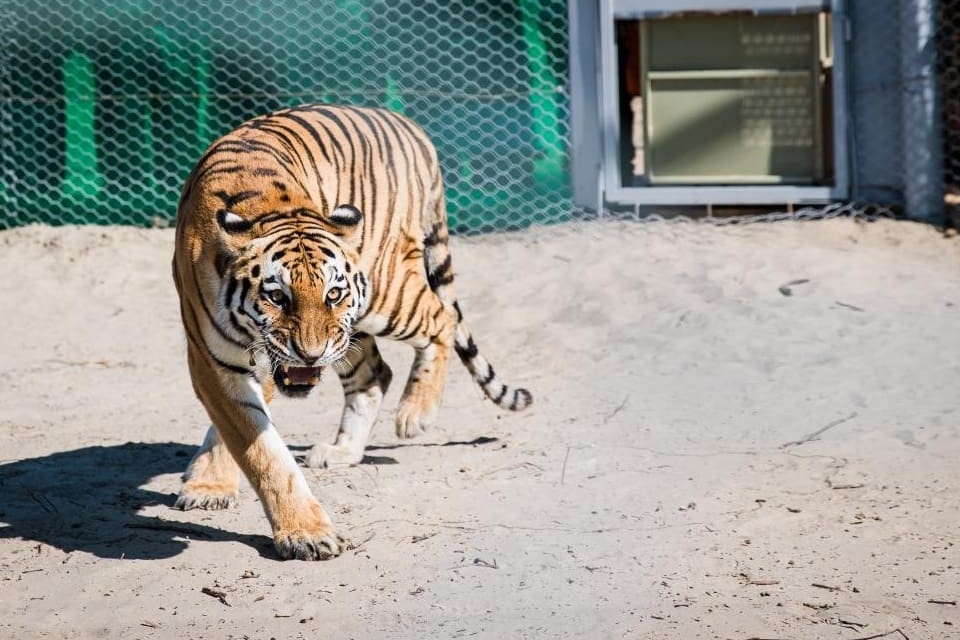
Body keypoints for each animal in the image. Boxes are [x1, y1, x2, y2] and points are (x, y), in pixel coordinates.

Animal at [172, 104, 532, 560]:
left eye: (333, 293)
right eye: (277, 297)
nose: (310, 355)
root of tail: (410, 126)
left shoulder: (259, 360)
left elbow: (255, 447)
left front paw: (303, 533)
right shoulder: (213, 360)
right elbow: (255, 446)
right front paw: (215, 486)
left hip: (384, 293)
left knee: (441, 318)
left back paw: (416, 413)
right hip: (352, 329)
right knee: (375, 372)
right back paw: (344, 450)